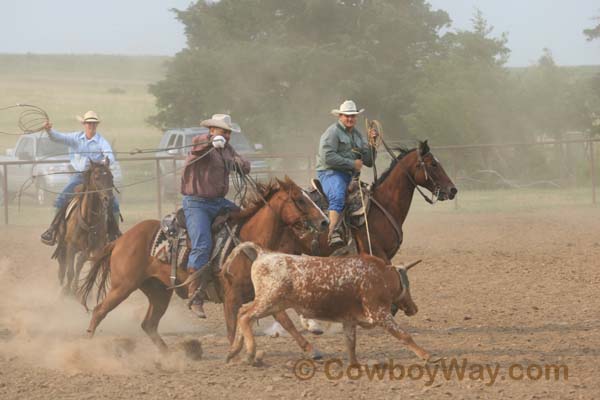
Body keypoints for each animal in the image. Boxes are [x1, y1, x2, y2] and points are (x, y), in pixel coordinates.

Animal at [54, 159, 116, 296]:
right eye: (97, 177)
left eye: (111, 176)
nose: (108, 198)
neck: (89, 221)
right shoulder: (71, 246)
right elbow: (71, 271)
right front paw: (66, 291)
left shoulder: (96, 248)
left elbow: (86, 267)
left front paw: (81, 292)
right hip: (63, 244)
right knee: (63, 264)